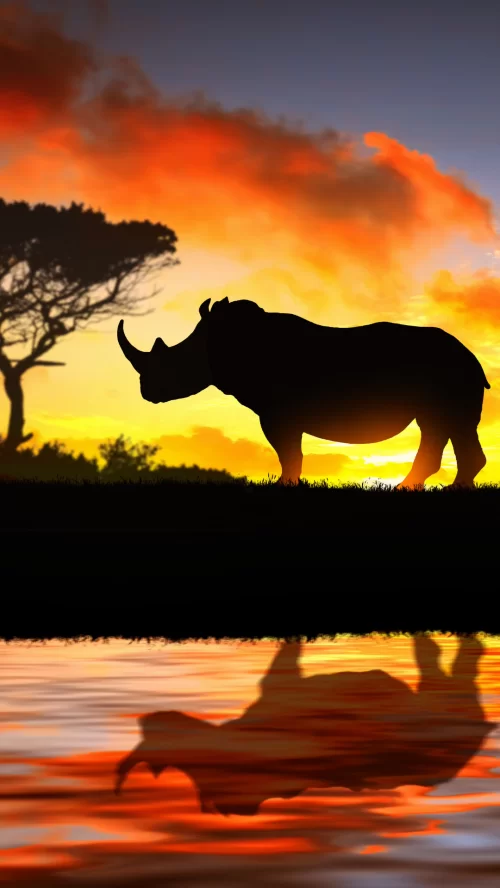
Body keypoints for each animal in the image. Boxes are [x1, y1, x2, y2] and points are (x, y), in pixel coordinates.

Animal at [117, 298, 490, 486]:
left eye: (174, 362)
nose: (146, 392)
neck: (217, 343)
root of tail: (472, 357)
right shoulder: (280, 413)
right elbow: (290, 454)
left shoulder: (276, 412)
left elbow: (288, 454)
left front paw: (284, 486)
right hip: (450, 377)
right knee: (447, 427)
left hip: (447, 374)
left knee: (443, 425)